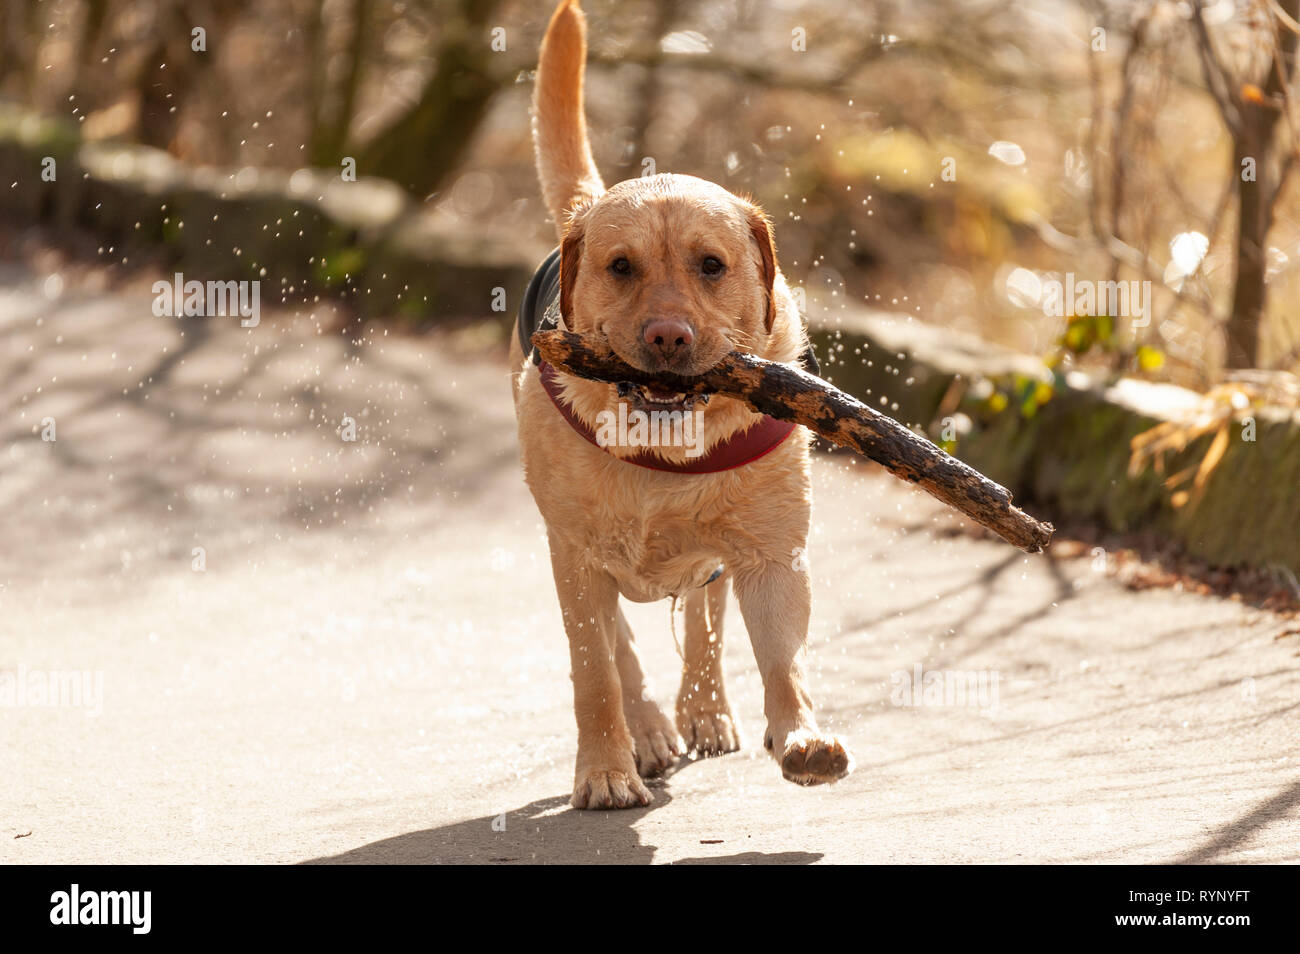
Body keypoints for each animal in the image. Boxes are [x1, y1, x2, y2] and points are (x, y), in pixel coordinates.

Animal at [512, 0, 857, 811]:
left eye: (711, 265)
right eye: (620, 267)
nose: (668, 336)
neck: (661, 447)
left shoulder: (770, 554)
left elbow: (782, 659)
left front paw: (800, 736)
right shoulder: (575, 558)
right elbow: (596, 673)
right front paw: (606, 768)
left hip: (715, 556)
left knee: (704, 619)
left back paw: (704, 712)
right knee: (623, 649)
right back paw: (647, 733)